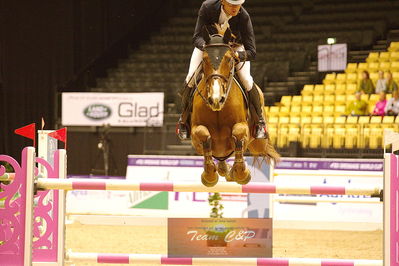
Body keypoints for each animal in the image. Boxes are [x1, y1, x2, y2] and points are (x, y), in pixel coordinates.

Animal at [191, 25, 282, 187]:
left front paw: (241, 173)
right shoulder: (195, 131)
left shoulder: (242, 127)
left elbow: (238, 133)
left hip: (259, 142)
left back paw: (232, 171)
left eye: (229, 59)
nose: (216, 99)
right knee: (221, 158)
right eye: (204, 59)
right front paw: (209, 175)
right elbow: (203, 134)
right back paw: (223, 169)